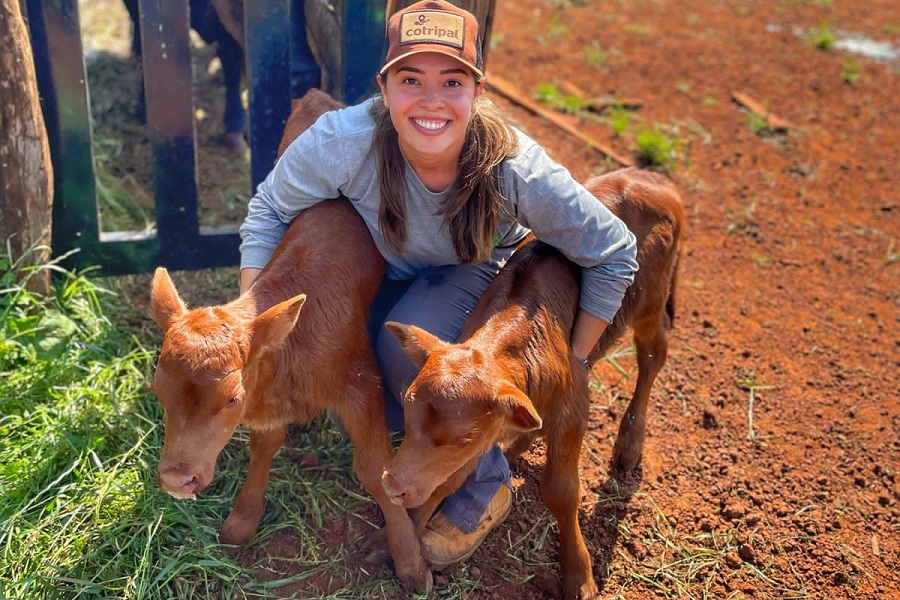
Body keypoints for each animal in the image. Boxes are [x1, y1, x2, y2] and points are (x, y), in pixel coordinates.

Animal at [151, 89, 432, 592]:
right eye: (157, 390)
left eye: (231, 399)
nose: (176, 480)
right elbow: (263, 448)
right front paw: (243, 520)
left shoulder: (361, 383)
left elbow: (376, 470)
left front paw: (409, 561)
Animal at [380, 168, 684, 600]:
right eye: (406, 407)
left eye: (460, 436)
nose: (392, 484)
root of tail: (651, 177)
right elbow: (448, 477)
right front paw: (393, 544)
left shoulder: (573, 406)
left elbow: (561, 489)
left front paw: (578, 575)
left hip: (651, 299)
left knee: (653, 354)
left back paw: (629, 443)